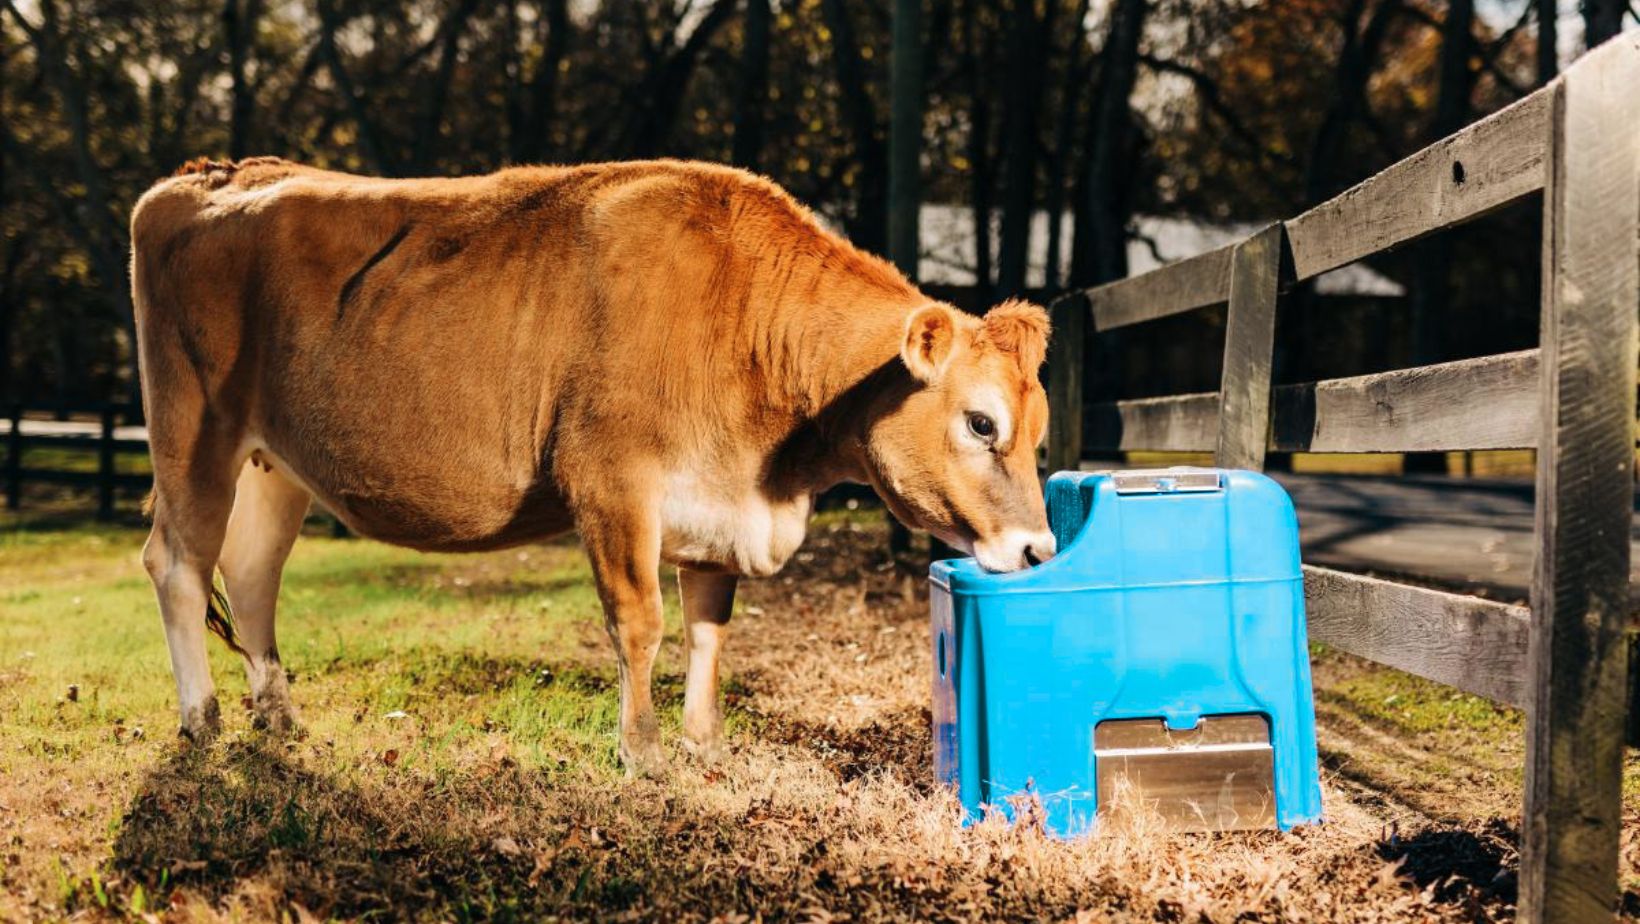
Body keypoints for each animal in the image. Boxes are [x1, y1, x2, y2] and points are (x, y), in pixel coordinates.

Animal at [129, 156, 1056, 776]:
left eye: (1038, 433)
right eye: (981, 422)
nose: (1038, 549)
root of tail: (213, 174)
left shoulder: (718, 508)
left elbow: (709, 627)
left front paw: (703, 743)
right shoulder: (612, 482)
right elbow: (641, 623)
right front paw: (642, 751)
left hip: (272, 464)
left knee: (250, 573)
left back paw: (278, 718)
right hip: (193, 430)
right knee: (178, 564)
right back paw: (203, 720)